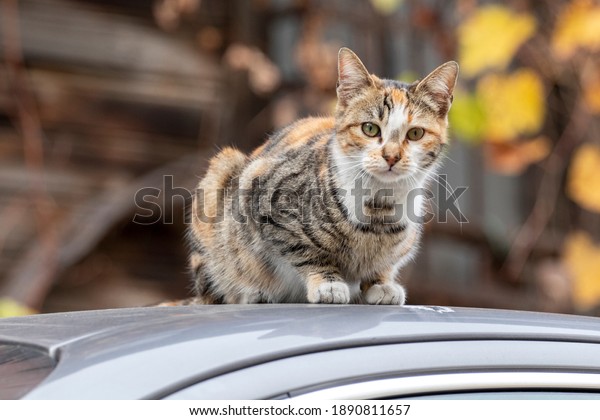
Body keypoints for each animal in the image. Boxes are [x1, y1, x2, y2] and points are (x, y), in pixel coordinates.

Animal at [185, 48, 458, 306]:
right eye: (370, 128)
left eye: (415, 133)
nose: (391, 156)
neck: (378, 208)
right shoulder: (265, 196)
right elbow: (305, 251)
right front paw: (329, 284)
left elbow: (384, 264)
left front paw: (381, 283)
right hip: (221, 177)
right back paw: (252, 293)